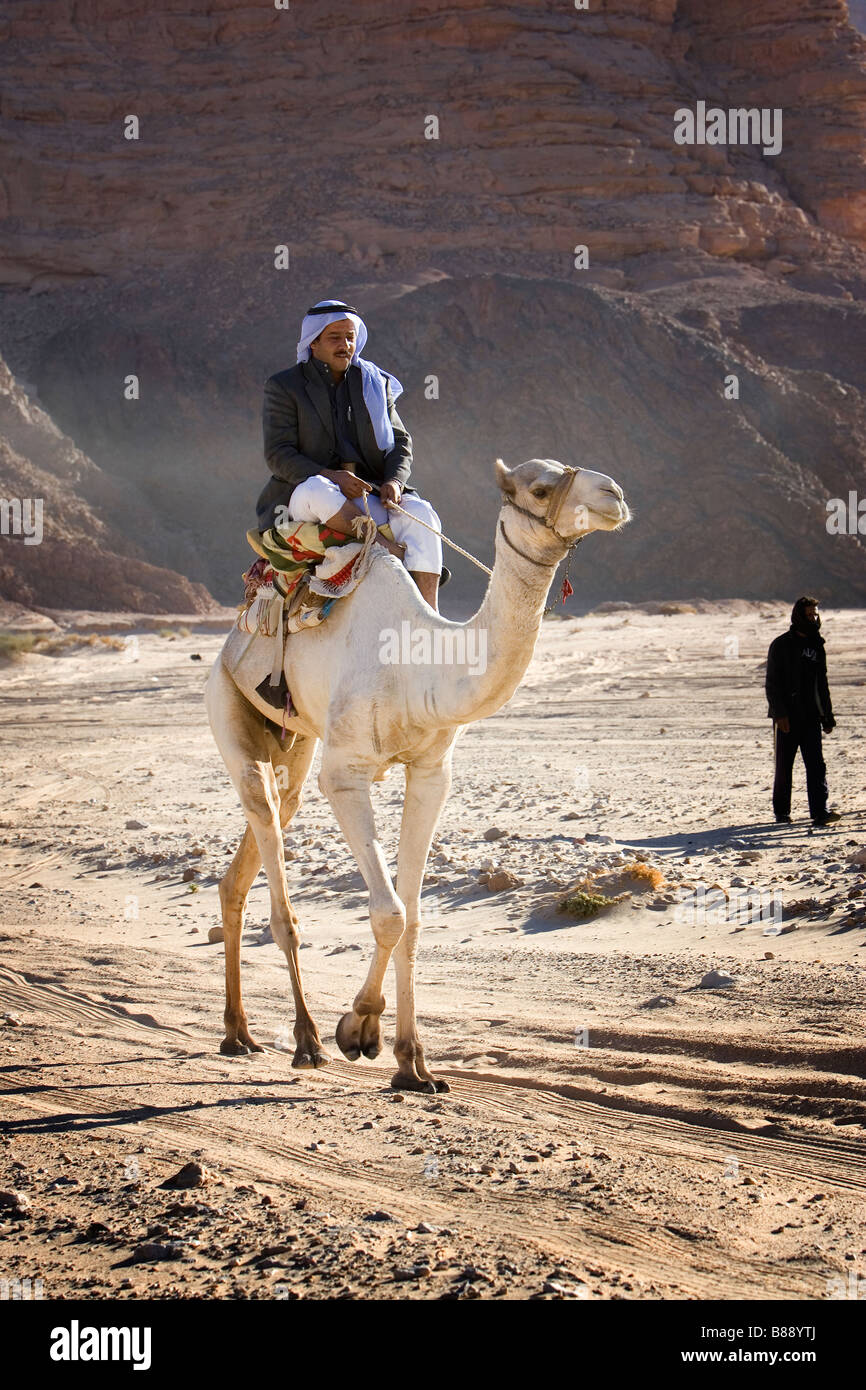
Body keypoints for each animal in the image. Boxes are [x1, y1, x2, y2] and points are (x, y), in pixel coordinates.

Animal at [204, 458, 629, 1093]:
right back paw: (304, 1040)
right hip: (230, 706)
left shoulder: (431, 774)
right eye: (539, 488)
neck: (419, 662)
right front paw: (357, 1028)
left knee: (255, 848)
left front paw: (411, 1062)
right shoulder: (346, 773)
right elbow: (389, 914)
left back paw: (238, 1033)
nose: (615, 494)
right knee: (274, 863)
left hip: (295, 743)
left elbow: (415, 918)